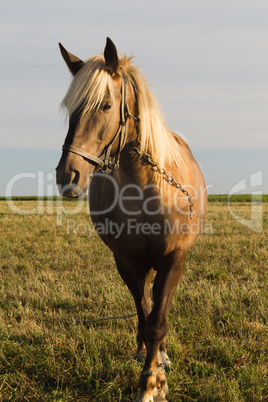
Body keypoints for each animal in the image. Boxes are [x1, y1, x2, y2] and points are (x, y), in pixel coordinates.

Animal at [56, 37, 207, 398]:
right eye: (71, 110)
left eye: (106, 106)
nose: (68, 176)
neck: (149, 190)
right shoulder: (125, 261)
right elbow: (144, 313)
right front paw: (151, 373)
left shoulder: (174, 258)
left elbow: (157, 321)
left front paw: (153, 383)